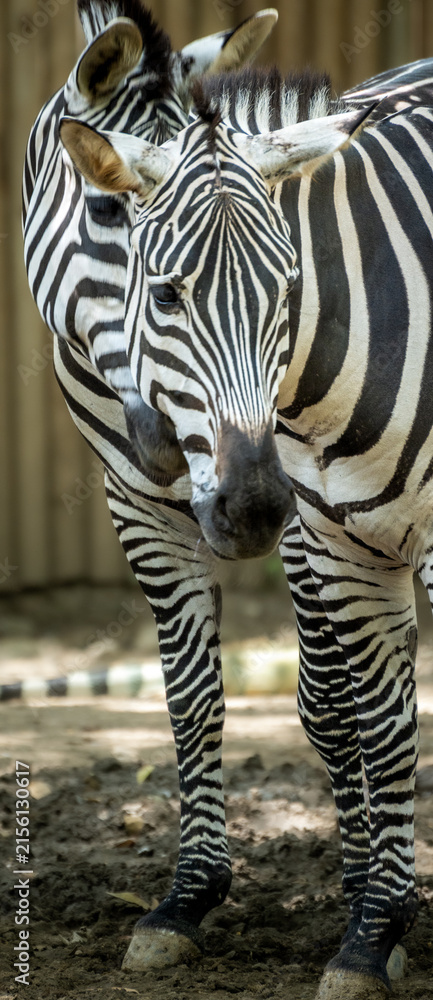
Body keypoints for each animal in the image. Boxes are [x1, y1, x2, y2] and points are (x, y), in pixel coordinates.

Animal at [58, 59, 433, 1000]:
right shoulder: (342, 549)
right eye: (166, 293)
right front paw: (370, 937)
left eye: (291, 290)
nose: (258, 504)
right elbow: (378, 726)